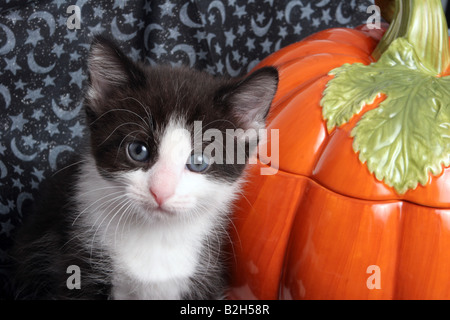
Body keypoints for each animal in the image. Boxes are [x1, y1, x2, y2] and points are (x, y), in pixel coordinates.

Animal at [12, 37, 278, 300]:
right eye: (138, 150)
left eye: (198, 161)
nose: (160, 192)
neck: (154, 234)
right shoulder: (78, 268)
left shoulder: (206, 276)